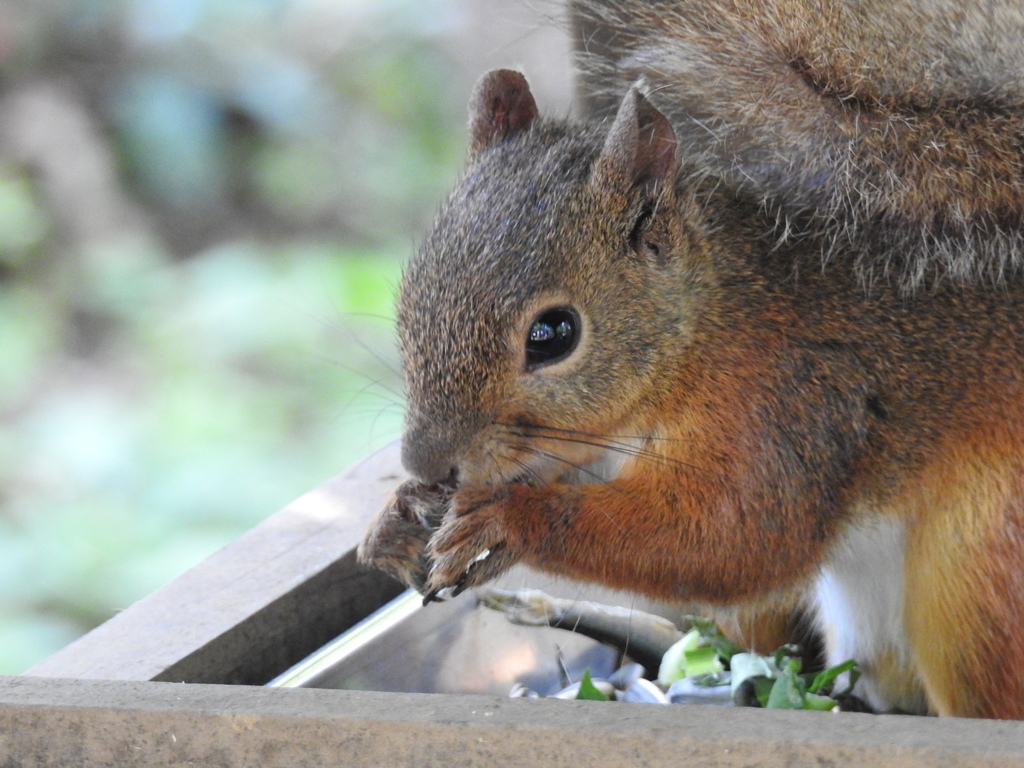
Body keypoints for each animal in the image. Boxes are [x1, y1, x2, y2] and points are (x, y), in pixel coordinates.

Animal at [356, 0, 1024, 720]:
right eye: (412, 289)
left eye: (554, 334)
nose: (426, 462)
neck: (700, 332)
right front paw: (398, 519)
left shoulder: (789, 408)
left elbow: (732, 540)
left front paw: (509, 521)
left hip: (979, 574)